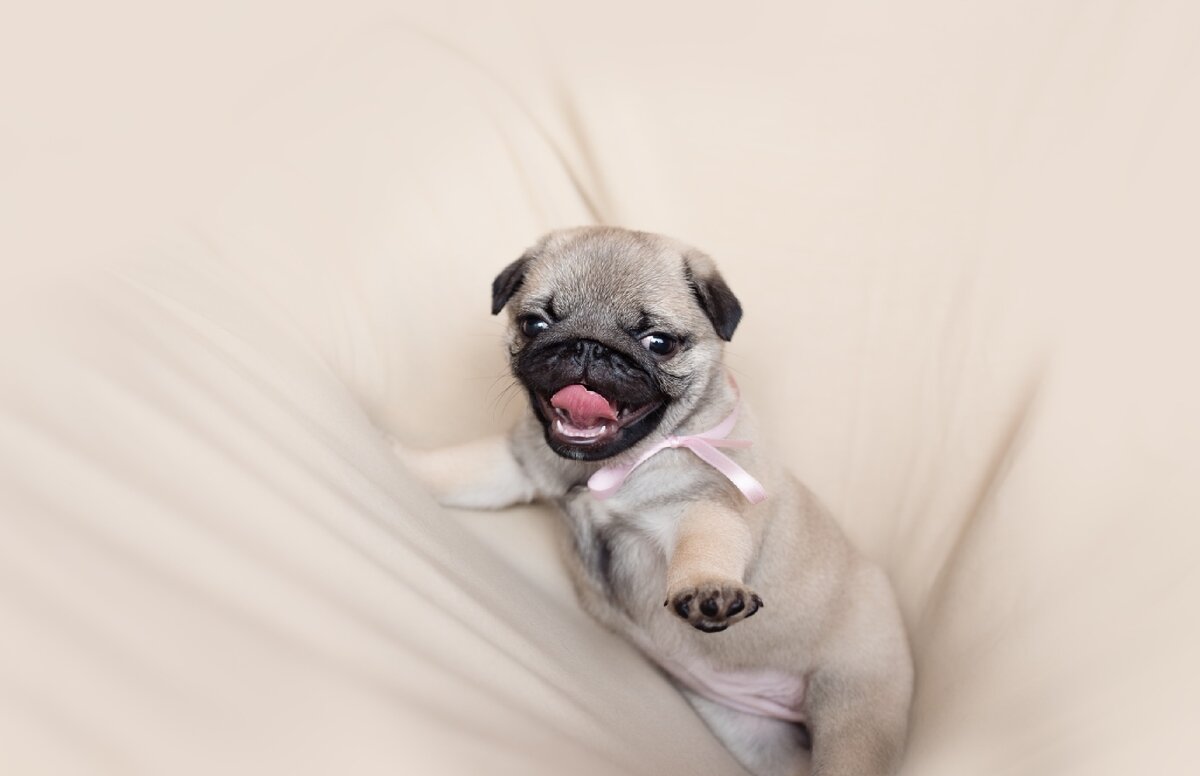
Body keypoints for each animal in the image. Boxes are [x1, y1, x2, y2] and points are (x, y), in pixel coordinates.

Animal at [396, 226, 913, 776]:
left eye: (657, 343)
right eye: (535, 323)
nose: (588, 347)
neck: (609, 467)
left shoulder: (705, 505)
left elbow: (706, 546)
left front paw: (709, 590)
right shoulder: (518, 463)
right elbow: (454, 467)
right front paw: (390, 453)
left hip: (853, 706)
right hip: (758, 740)